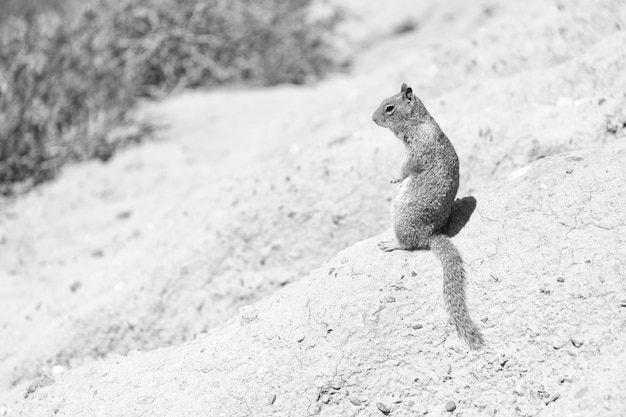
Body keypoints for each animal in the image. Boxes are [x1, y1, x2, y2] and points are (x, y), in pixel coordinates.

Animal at [370, 83, 482, 350]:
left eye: (389, 108)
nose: (372, 118)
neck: (419, 122)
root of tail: (432, 234)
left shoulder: (417, 152)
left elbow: (406, 168)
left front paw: (395, 178)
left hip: (401, 218)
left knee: (409, 244)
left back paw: (391, 243)